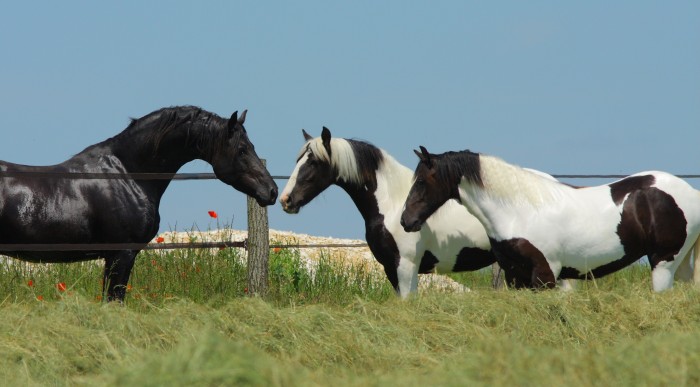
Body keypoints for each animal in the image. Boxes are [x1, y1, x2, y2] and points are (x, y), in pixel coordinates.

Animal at [280, 129, 552, 298]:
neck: (392, 204)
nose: (286, 200)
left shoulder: (406, 266)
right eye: (298, 160)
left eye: (313, 162)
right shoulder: (391, 269)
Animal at [400, 147, 700, 292]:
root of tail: (691, 193)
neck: (518, 210)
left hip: (663, 262)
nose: (406, 221)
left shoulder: (545, 275)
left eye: (422, 182)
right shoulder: (516, 276)